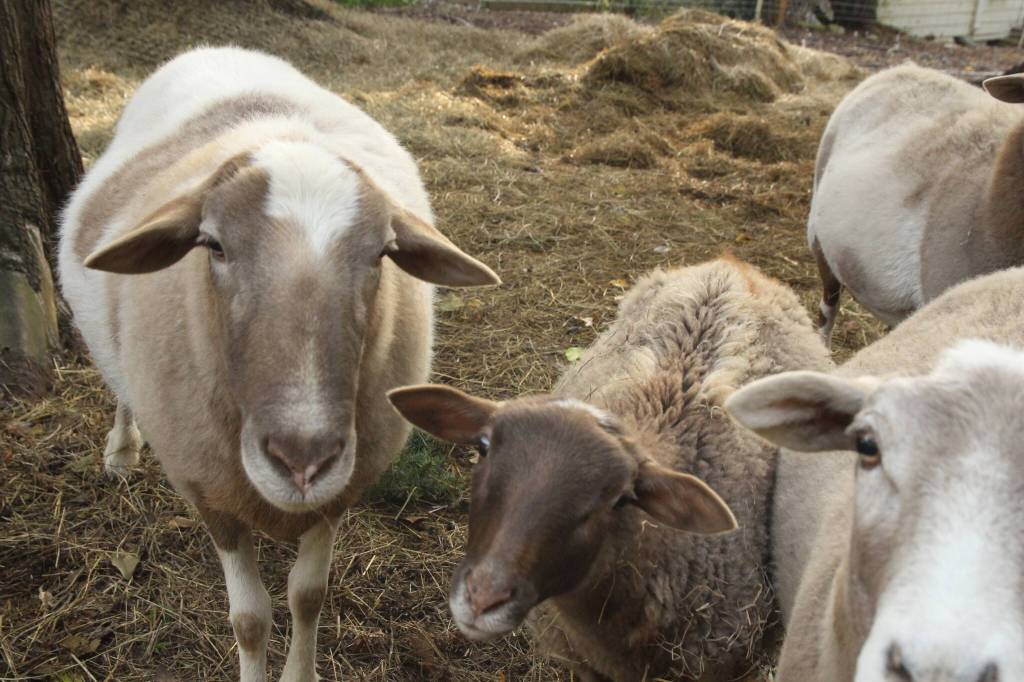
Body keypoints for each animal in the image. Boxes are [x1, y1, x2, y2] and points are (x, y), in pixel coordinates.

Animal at [57, 46, 498, 682]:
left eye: (381, 254)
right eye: (213, 245)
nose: (302, 460)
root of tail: (217, 48)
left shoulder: (339, 493)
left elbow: (306, 595)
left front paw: (301, 670)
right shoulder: (209, 491)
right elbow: (250, 619)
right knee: (119, 387)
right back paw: (120, 451)